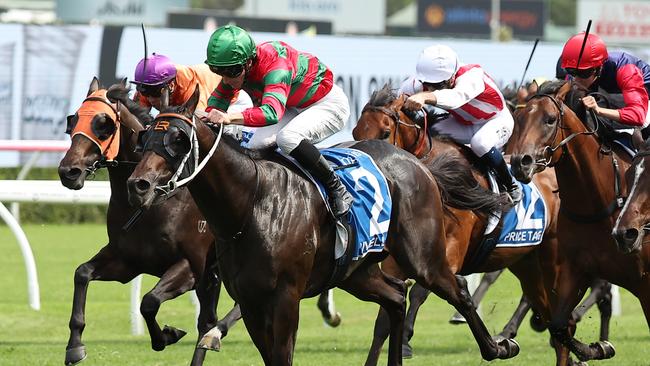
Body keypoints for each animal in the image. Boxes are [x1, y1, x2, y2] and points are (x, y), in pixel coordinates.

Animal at [125, 84, 520, 364]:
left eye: (178, 139)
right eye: (146, 136)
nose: (138, 185)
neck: (250, 203)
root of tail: (419, 164)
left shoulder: (285, 298)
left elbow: (282, 356)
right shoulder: (251, 302)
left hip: (423, 257)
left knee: (457, 291)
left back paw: (500, 346)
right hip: (355, 271)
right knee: (395, 297)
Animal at [506, 79, 648, 364]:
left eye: (550, 120)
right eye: (518, 119)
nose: (519, 163)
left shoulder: (643, 281)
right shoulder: (572, 269)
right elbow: (561, 326)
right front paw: (597, 348)